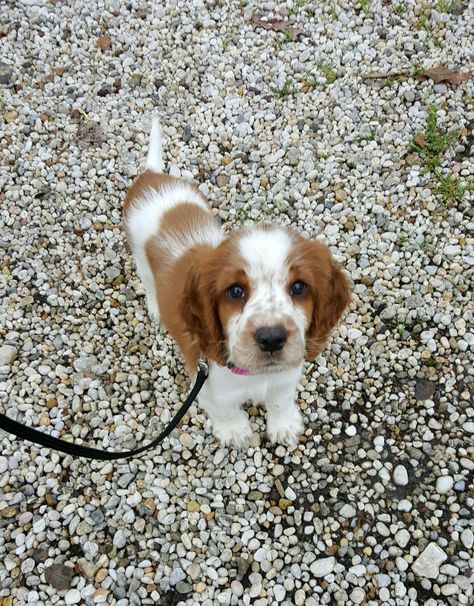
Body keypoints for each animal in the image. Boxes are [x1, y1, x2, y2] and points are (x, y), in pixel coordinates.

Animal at [123, 121, 352, 448]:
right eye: (235, 291)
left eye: (299, 288)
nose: (272, 338)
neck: (256, 375)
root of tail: (151, 177)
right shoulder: (210, 388)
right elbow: (226, 410)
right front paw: (234, 431)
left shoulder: (285, 378)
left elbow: (280, 401)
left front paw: (283, 425)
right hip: (138, 253)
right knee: (146, 279)